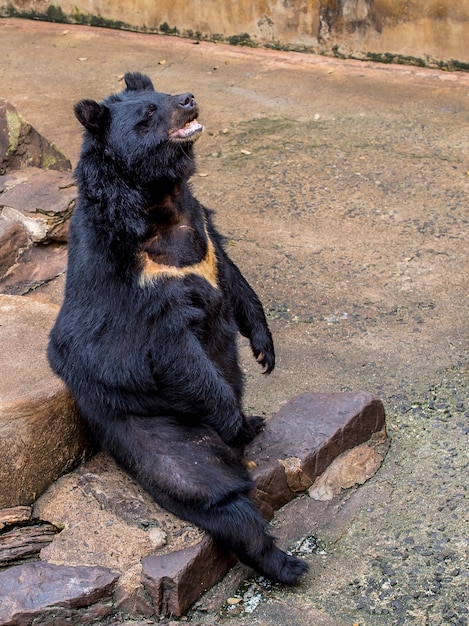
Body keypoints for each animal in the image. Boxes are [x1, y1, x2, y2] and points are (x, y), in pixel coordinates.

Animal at [48, 73, 308, 584]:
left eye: (166, 94)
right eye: (148, 114)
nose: (188, 99)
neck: (160, 198)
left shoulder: (204, 226)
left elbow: (234, 277)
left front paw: (265, 350)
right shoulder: (139, 282)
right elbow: (175, 352)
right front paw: (231, 412)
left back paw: (255, 423)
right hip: (162, 432)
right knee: (215, 495)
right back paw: (286, 561)